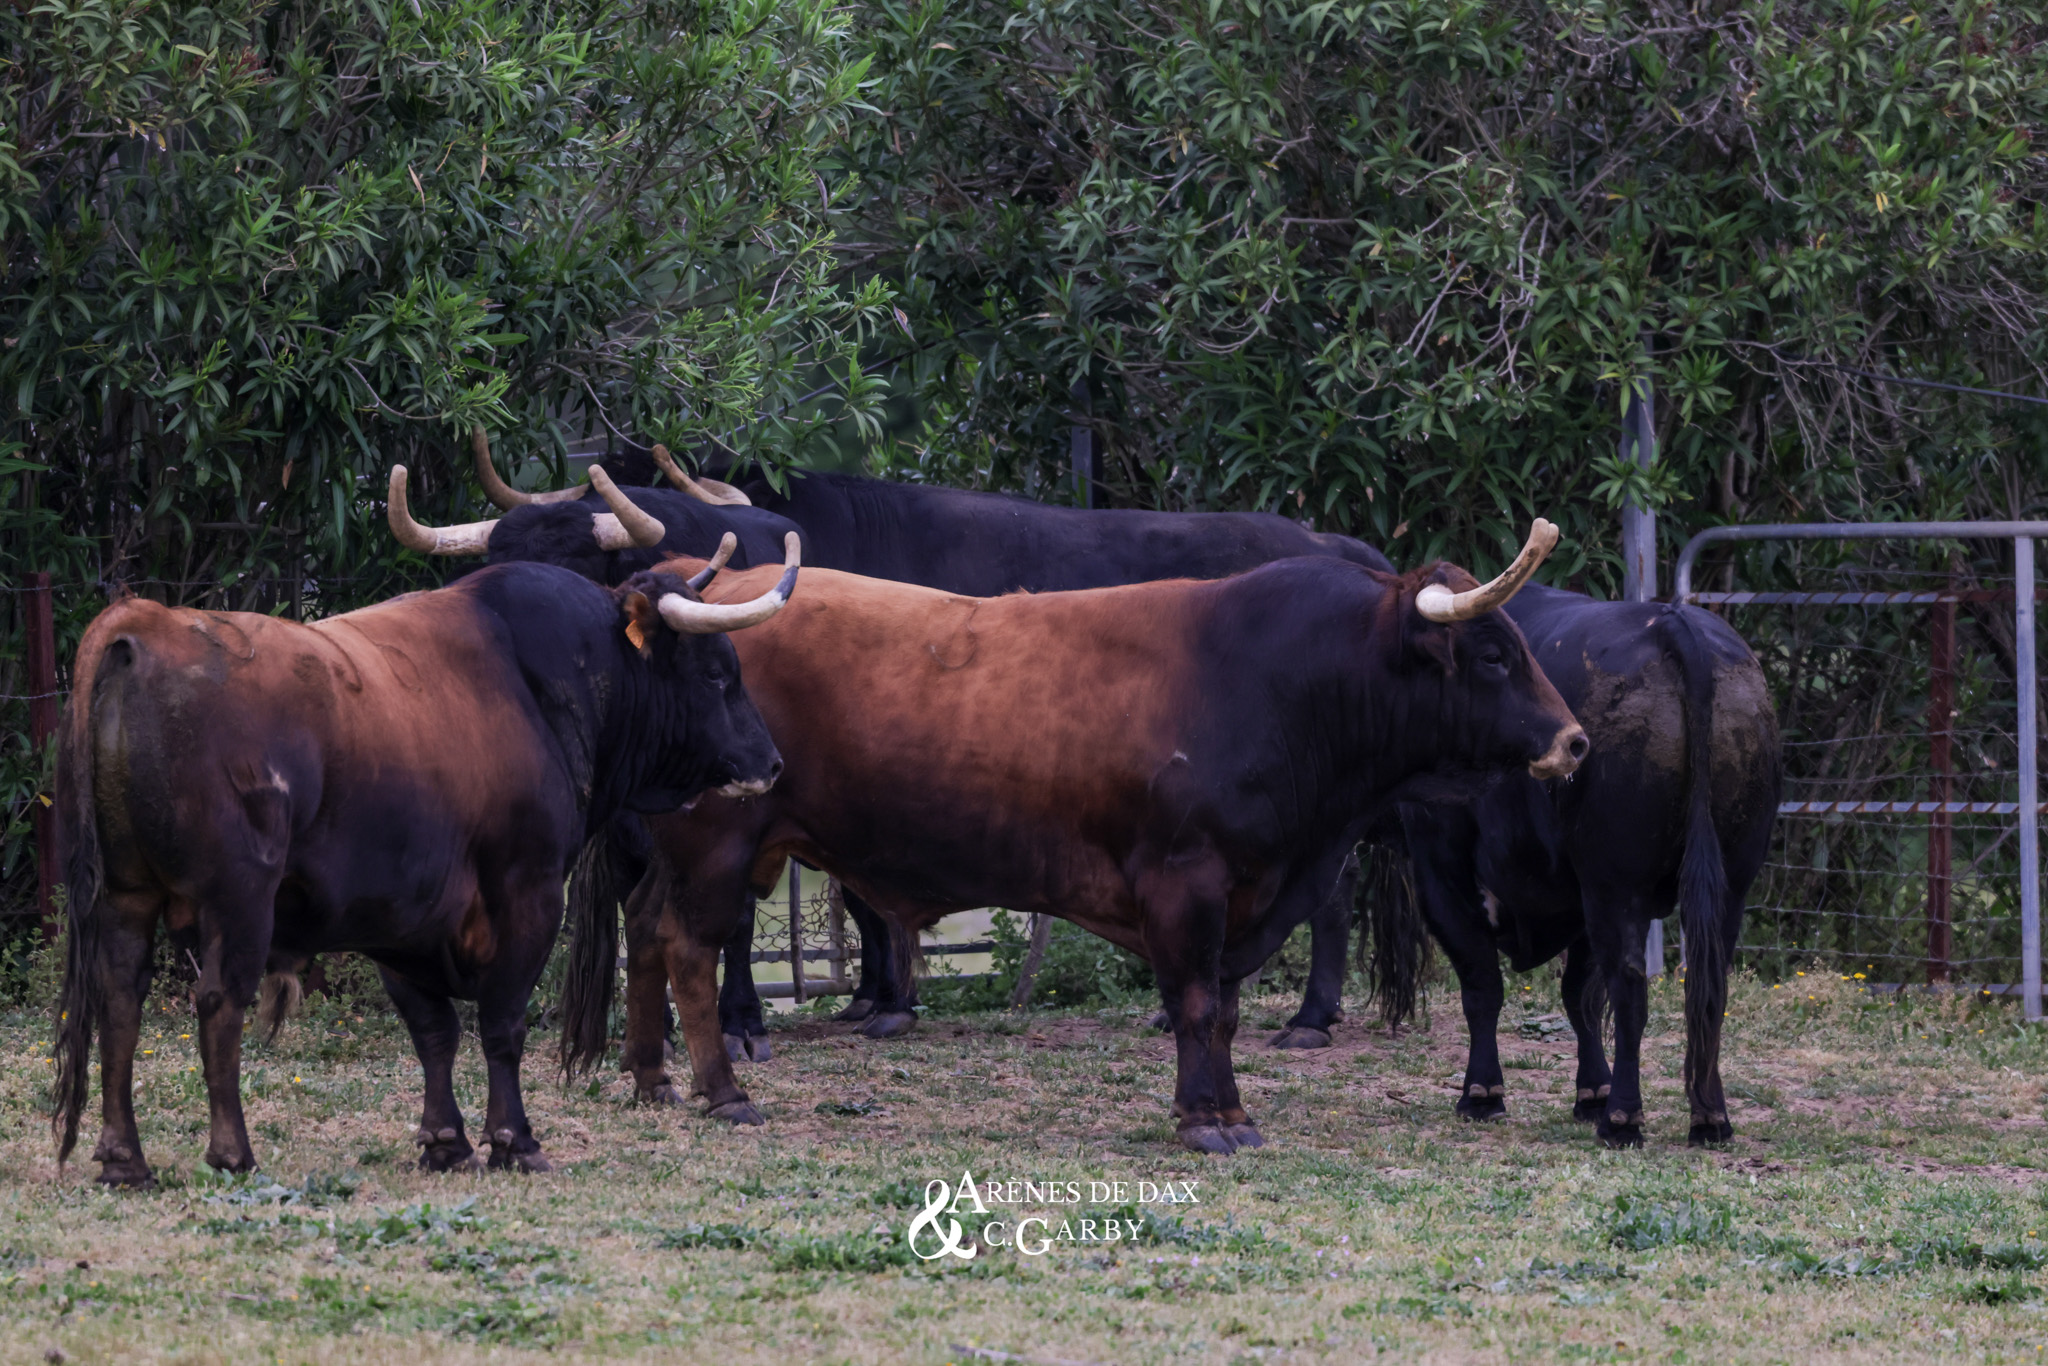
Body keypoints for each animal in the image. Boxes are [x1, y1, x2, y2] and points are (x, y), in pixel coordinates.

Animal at [50, 475, 801, 1187]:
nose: (769, 762)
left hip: (125, 896)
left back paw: (124, 1160)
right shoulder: (526, 892)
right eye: (718, 673)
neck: (542, 677)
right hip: (237, 901)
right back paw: (232, 1151)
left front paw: (446, 1141)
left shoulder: (399, 916)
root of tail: (144, 623)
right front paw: (515, 1140)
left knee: (119, 1000)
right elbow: (501, 1023)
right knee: (217, 1002)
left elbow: (434, 1031)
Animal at [564, 522, 1587, 1153]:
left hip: (685, 849)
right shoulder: (1186, 882)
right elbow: (1198, 1004)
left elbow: (1216, 1005)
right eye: (1492, 653)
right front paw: (1207, 1119)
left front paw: (1222, 1107)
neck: (1279, 681)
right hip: (719, 844)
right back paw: (721, 1092)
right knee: (687, 948)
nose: (1574, 739)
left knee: (647, 931)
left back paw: (652, 1079)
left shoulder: (1245, 894)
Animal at [1294, 587, 1780, 1147]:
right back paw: (1709, 1116)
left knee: (1631, 988)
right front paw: (1590, 1091)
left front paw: (1483, 1093)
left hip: (1617, 887)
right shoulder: (1578, 900)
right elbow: (1578, 996)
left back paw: (1624, 1119)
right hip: (1727, 884)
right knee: (1707, 989)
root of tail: (1672, 622)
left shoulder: (1444, 872)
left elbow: (1483, 986)